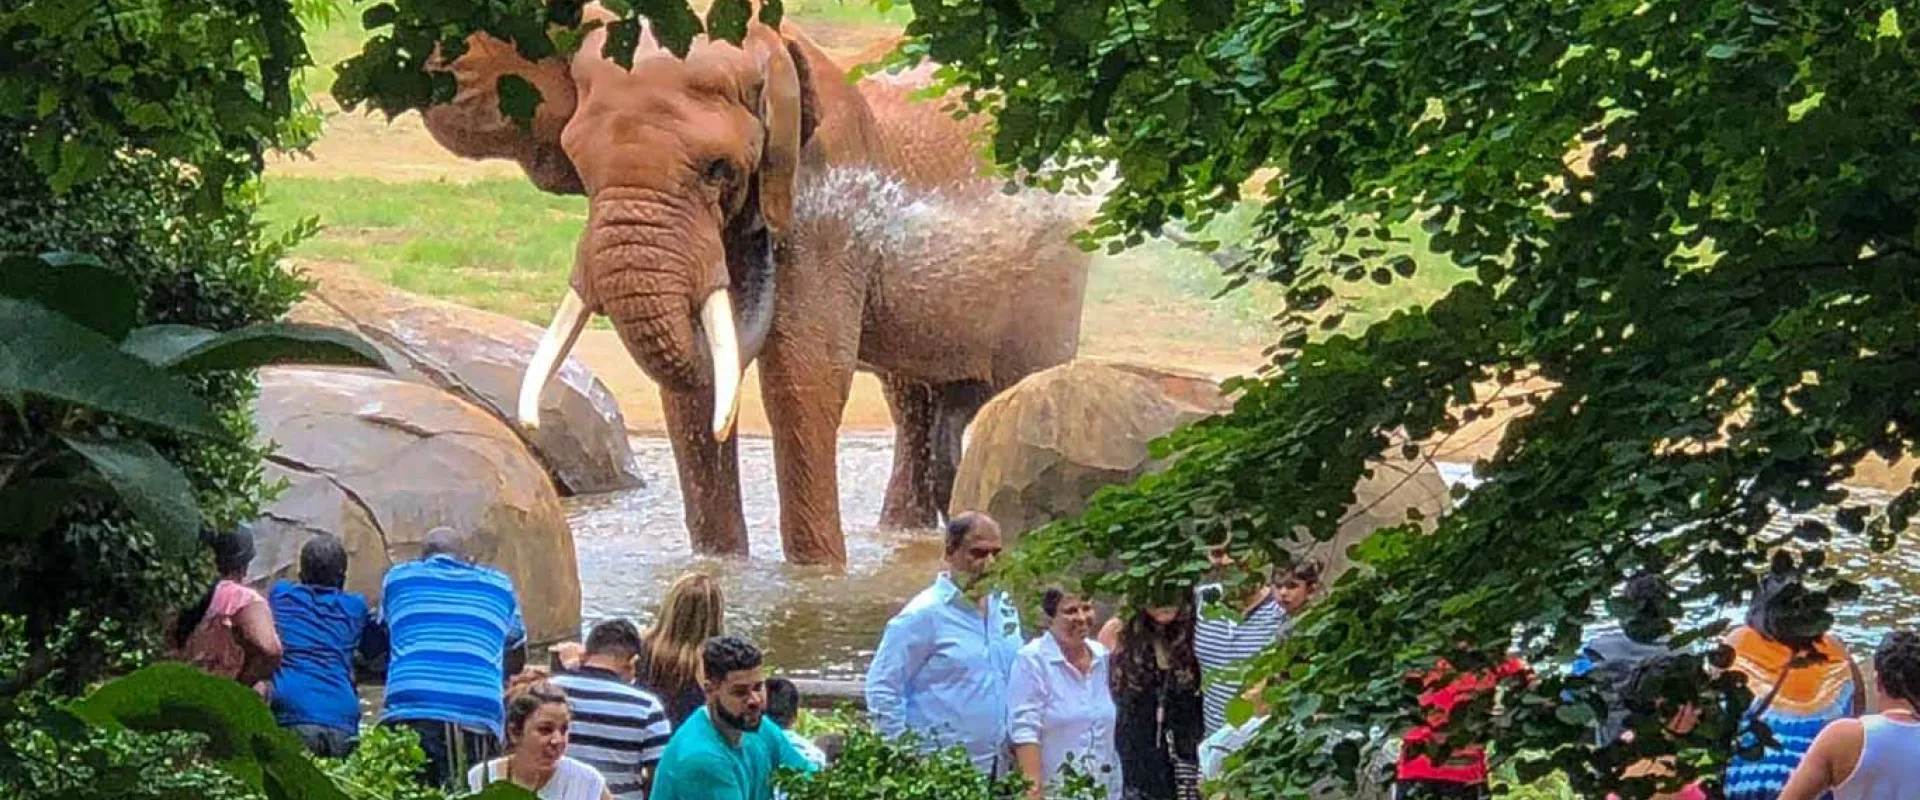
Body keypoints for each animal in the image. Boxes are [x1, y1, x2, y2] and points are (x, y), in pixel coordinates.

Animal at [418, 6, 1091, 565]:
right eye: (580, 168)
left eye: (719, 171)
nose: (754, 241)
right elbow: (692, 393)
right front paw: (722, 568)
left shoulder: (825, 212)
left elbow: (803, 375)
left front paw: (817, 577)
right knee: (911, 400)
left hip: (1054, 267)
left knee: (1004, 386)